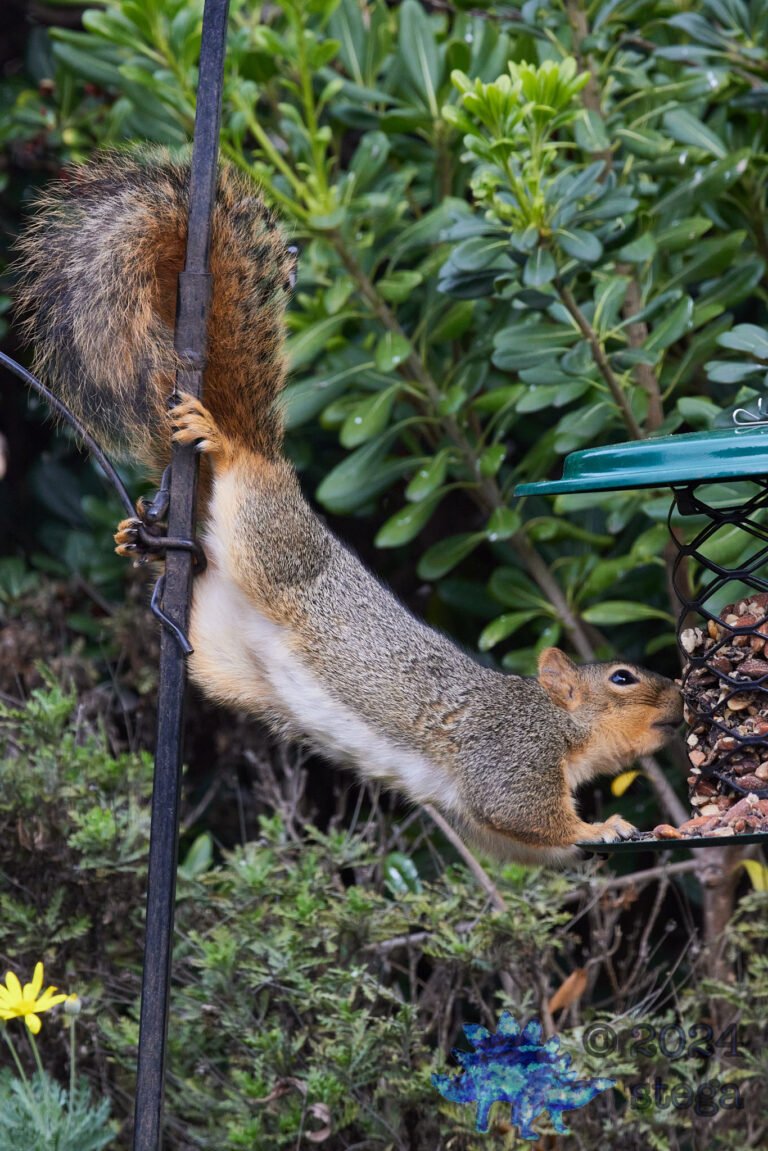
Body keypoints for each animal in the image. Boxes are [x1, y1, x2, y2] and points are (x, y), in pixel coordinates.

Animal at [14, 150, 683, 865]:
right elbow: (528, 812)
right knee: (246, 473)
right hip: (270, 533)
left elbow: (523, 846)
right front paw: (602, 828)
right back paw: (222, 445)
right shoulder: (511, 756)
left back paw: (144, 542)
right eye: (622, 678)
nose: (681, 696)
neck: (560, 724)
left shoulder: (492, 829)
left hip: (218, 643)